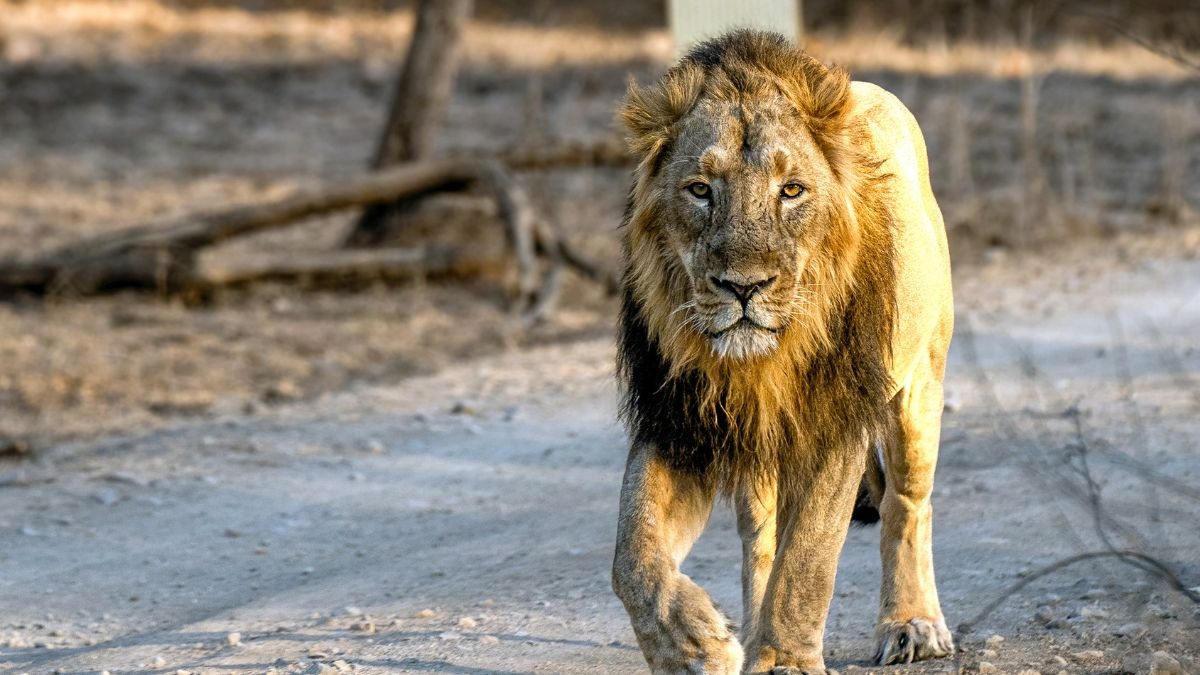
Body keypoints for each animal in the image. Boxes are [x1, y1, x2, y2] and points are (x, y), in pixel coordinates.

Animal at [611, 31, 955, 674]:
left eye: (791, 190)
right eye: (701, 190)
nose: (743, 287)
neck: (761, 364)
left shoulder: (837, 420)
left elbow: (810, 556)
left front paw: (787, 660)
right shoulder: (678, 421)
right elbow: (633, 555)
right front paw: (692, 645)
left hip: (918, 384)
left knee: (906, 505)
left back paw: (912, 625)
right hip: (760, 451)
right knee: (761, 540)